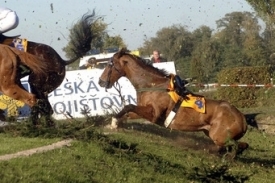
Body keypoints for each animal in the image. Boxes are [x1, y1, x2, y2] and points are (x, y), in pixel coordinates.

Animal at [99, 48, 250, 154]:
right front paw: (115, 123)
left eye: (109, 64)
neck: (152, 85)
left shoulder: (154, 115)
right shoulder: (143, 110)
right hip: (210, 132)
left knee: (237, 146)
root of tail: (242, 119)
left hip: (218, 136)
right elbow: (128, 112)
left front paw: (114, 122)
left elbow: (128, 106)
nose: (100, 82)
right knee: (238, 146)